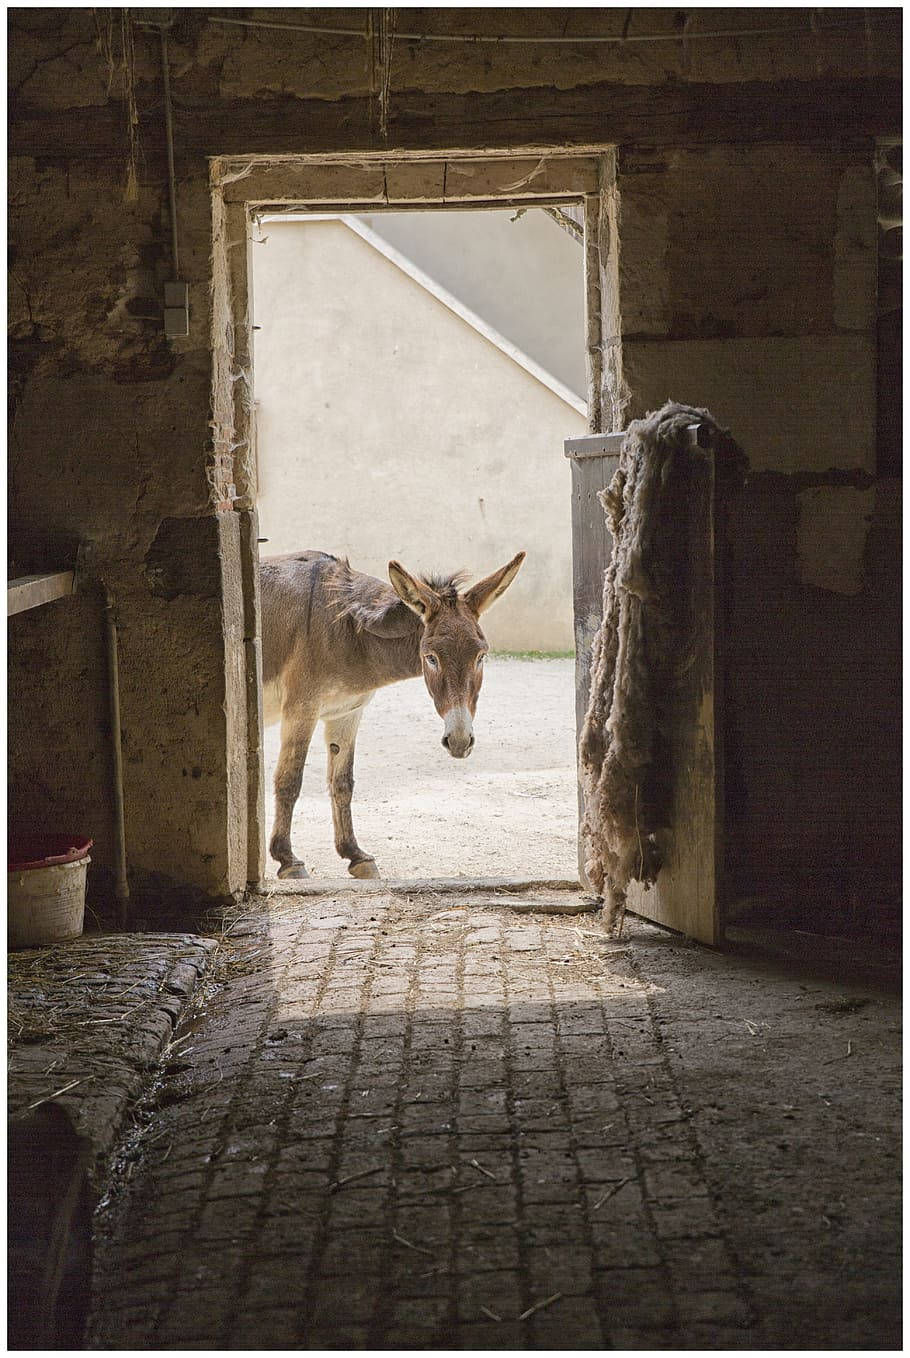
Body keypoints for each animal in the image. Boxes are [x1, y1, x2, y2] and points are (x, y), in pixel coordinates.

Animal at [260, 549, 525, 879]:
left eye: (481, 656)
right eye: (431, 658)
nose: (459, 741)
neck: (346, 629)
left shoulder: (347, 712)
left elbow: (342, 783)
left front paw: (355, 855)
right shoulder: (301, 710)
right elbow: (289, 781)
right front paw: (288, 860)